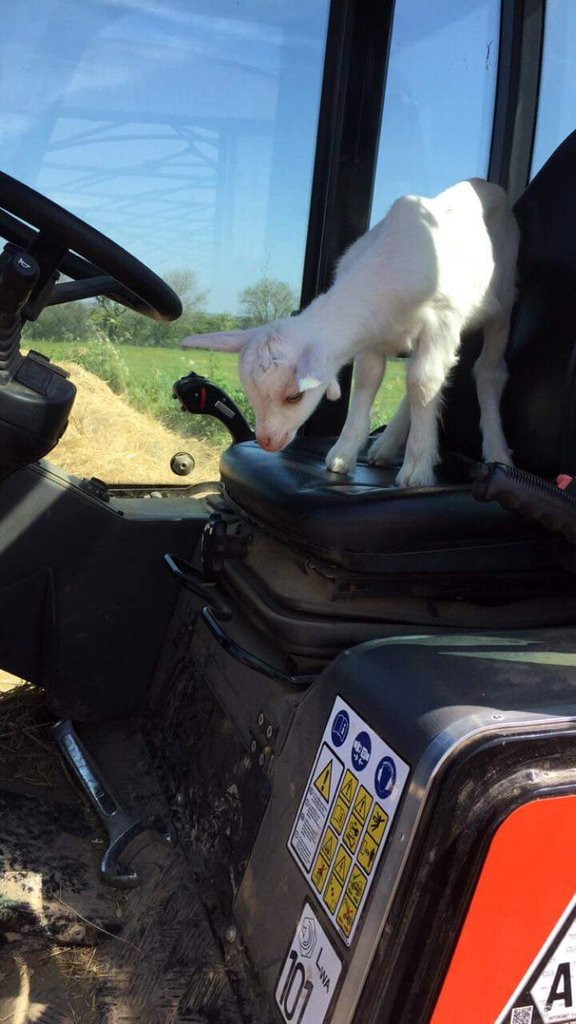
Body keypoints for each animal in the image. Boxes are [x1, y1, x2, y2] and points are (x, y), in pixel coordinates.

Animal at [181, 178, 519, 486]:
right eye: (250, 391)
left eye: (294, 396)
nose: (266, 441)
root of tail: (486, 184)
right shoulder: (373, 334)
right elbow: (369, 381)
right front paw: (343, 455)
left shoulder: (442, 321)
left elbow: (423, 383)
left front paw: (417, 470)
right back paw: (385, 446)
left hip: (503, 300)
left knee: (485, 371)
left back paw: (497, 454)